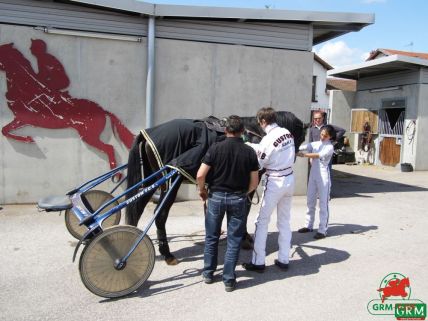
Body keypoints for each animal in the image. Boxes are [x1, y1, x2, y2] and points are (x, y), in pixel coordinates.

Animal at [125, 111, 306, 264]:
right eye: (302, 136)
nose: (295, 156)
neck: (254, 134)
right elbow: (245, 210)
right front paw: (244, 237)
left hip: (151, 181)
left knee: (136, 208)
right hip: (169, 184)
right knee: (160, 214)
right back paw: (167, 253)